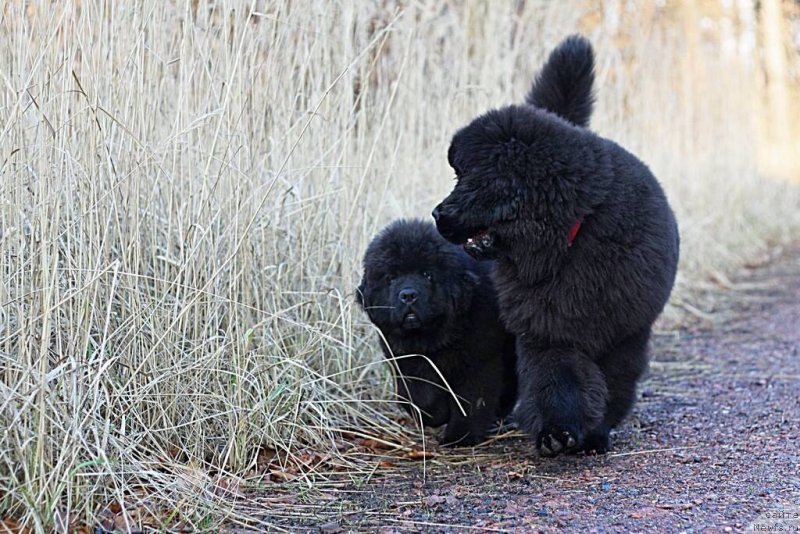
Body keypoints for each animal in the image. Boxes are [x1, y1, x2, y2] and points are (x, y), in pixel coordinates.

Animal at [358, 219, 520, 448]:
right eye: (391, 278)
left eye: (427, 274)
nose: (408, 295)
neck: (433, 337)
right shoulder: (406, 360)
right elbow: (419, 396)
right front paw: (435, 416)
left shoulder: (478, 361)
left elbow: (471, 400)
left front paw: (460, 437)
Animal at [434, 35, 680, 458]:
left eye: (467, 179)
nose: (437, 214)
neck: (569, 240)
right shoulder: (548, 332)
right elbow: (557, 382)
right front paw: (557, 433)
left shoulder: (623, 335)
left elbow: (612, 388)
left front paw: (594, 436)